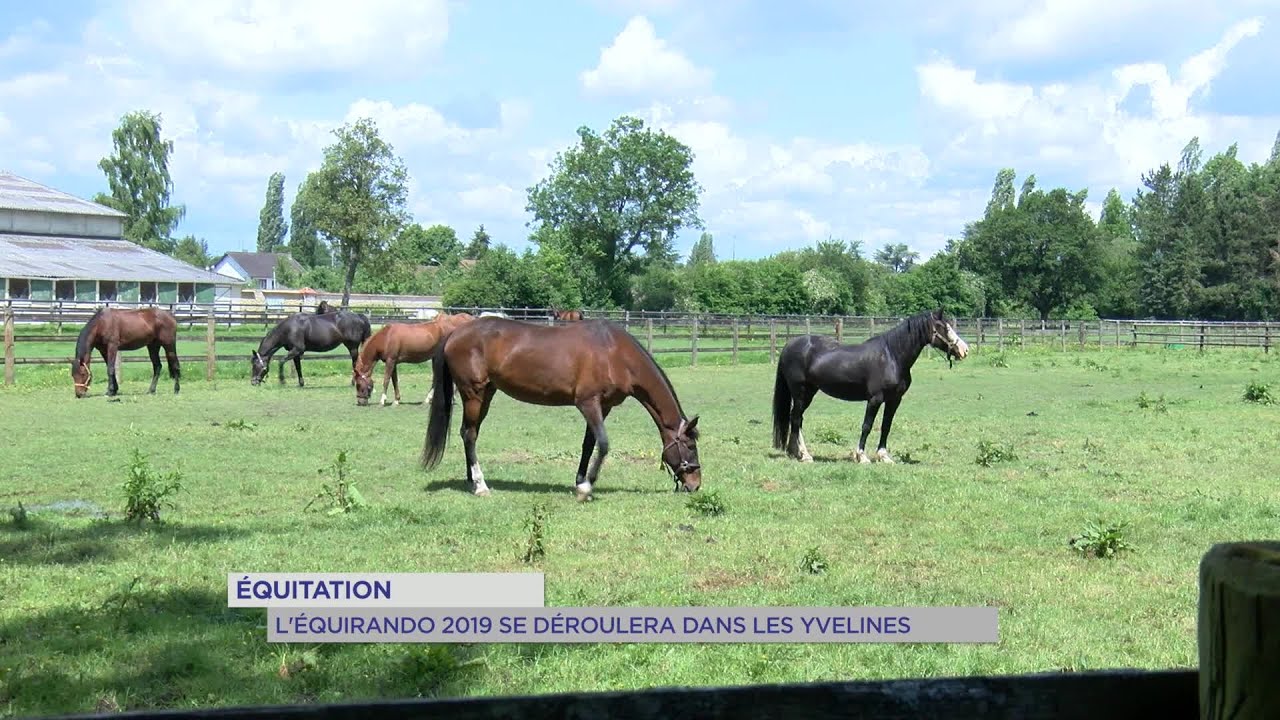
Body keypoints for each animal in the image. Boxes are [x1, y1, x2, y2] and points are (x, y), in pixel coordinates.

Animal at [419, 316, 701, 502]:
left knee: (469, 432)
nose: (695, 484)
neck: (615, 354)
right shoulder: (588, 403)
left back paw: (471, 480)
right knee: (470, 434)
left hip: (486, 394)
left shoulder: (603, 407)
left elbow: (589, 444)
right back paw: (480, 485)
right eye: (690, 446)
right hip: (473, 393)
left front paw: (580, 482)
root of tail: (454, 333)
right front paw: (587, 489)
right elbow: (603, 444)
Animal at [768, 308, 967, 466]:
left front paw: (884, 456)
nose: (964, 350)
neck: (891, 356)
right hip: (801, 392)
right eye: (944, 327)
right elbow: (867, 425)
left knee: (796, 419)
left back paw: (795, 452)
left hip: (809, 392)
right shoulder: (875, 399)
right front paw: (861, 456)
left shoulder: (894, 400)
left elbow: (886, 426)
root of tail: (789, 345)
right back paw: (804, 455)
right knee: (796, 419)